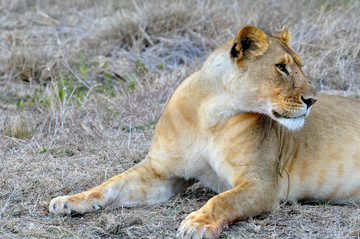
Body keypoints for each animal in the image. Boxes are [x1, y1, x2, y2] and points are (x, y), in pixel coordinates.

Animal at [49, 25, 360, 238]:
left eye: (299, 67)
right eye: (281, 67)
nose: (312, 100)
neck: (211, 116)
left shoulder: (262, 184)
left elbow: (222, 200)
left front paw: (197, 223)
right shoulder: (161, 173)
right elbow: (110, 185)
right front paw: (68, 201)